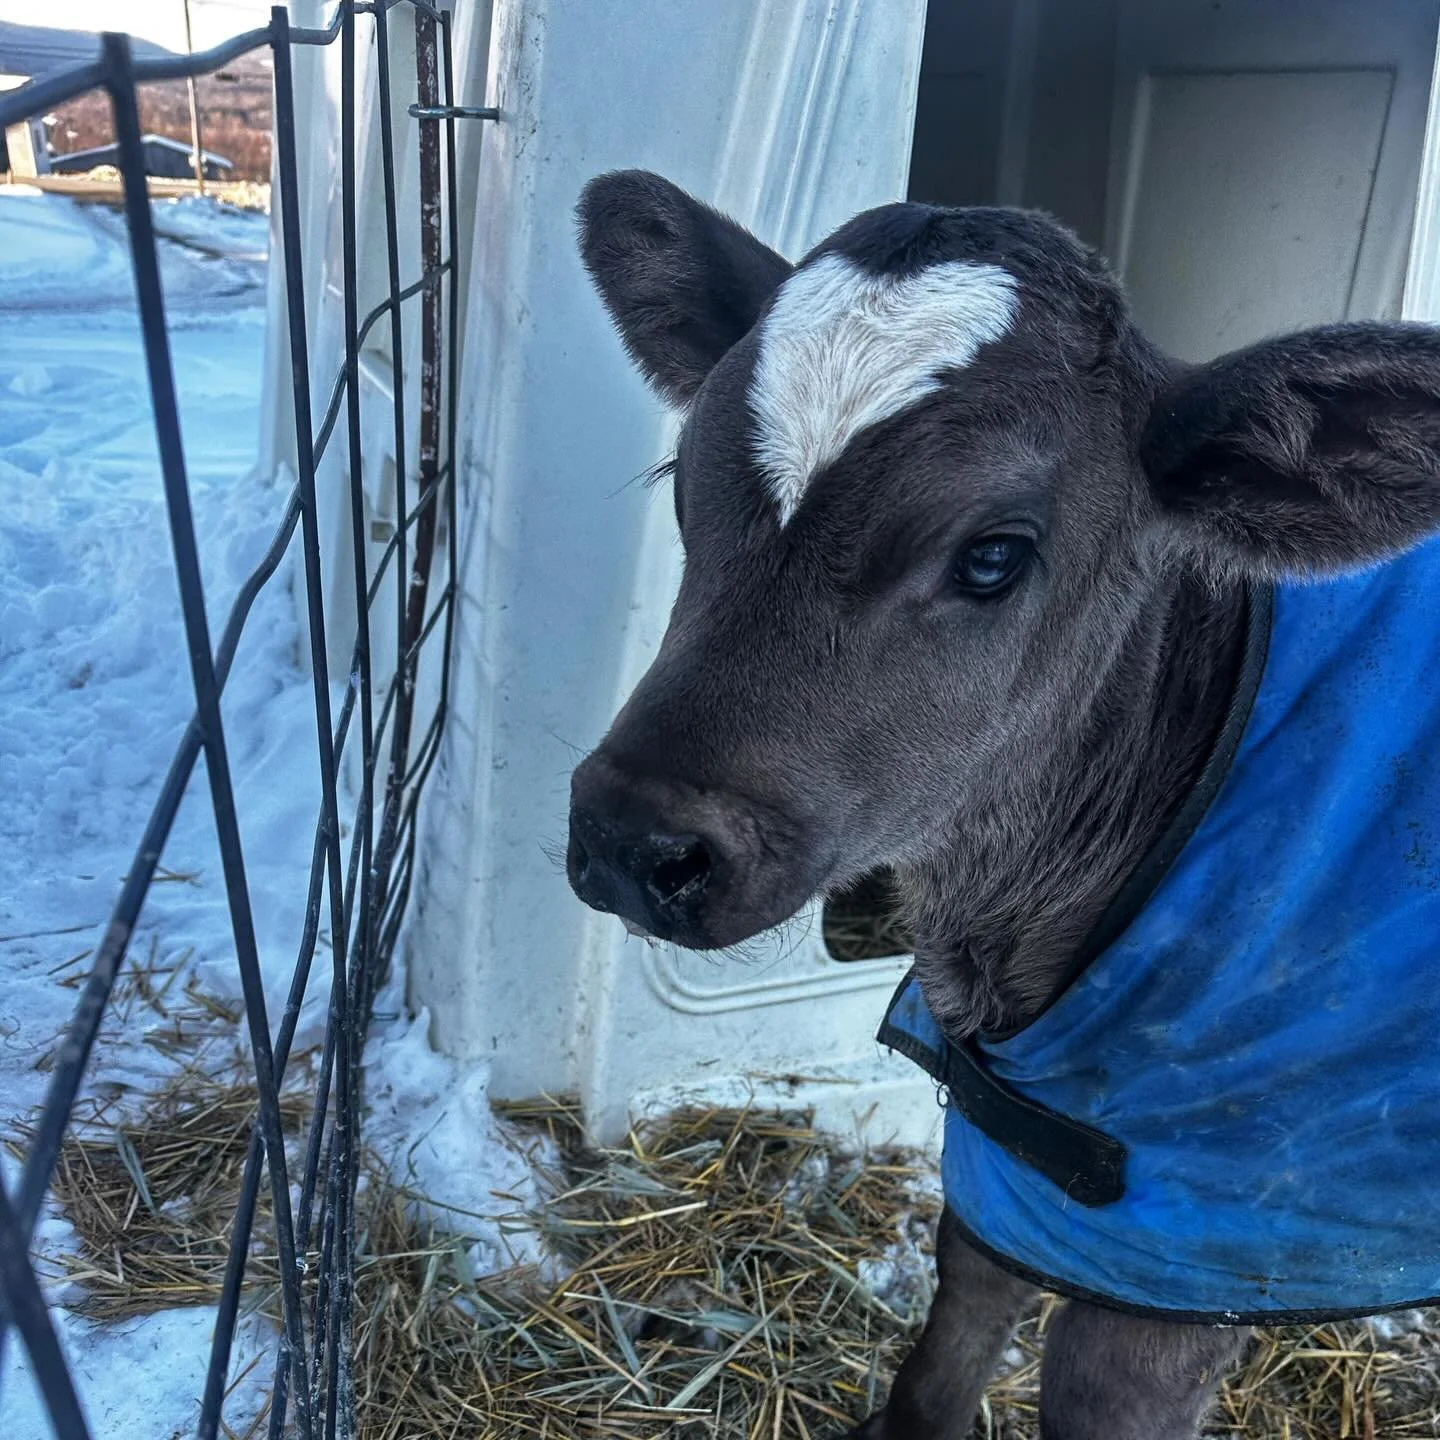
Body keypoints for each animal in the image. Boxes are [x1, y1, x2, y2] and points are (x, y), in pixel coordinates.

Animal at [564, 169, 1440, 1438]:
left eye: (992, 556)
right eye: (685, 489)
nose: (631, 839)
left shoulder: (1203, 1240)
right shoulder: (1015, 1147)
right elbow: (953, 1326)